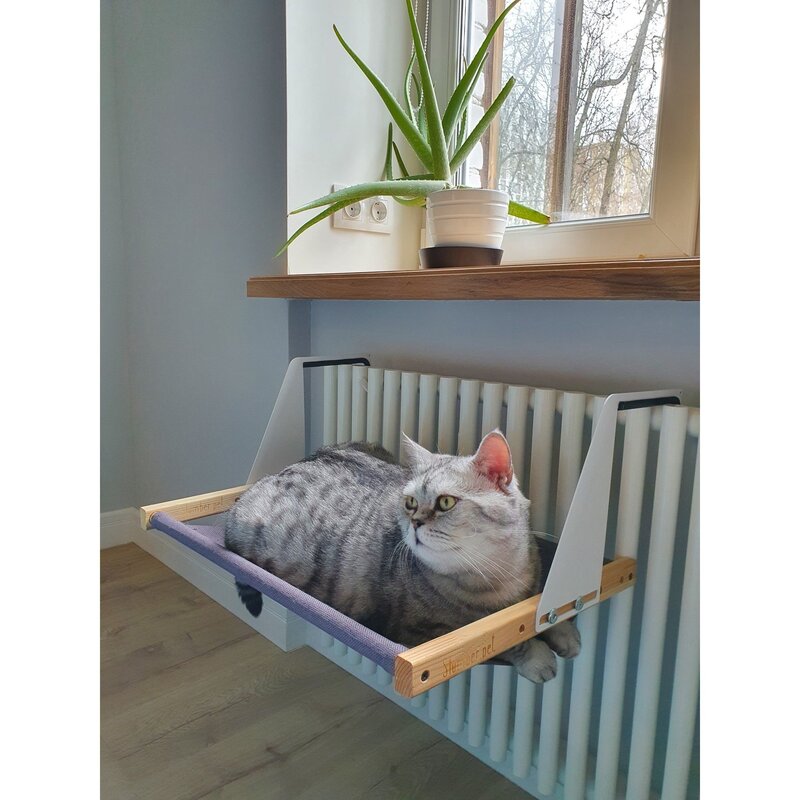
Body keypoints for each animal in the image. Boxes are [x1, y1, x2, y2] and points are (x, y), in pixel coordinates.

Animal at [225, 428, 580, 684]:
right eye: (409, 502)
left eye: (446, 502)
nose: (414, 523)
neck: (497, 578)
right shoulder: (422, 632)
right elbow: (502, 641)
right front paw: (537, 656)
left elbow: (542, 611)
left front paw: (562, 630)